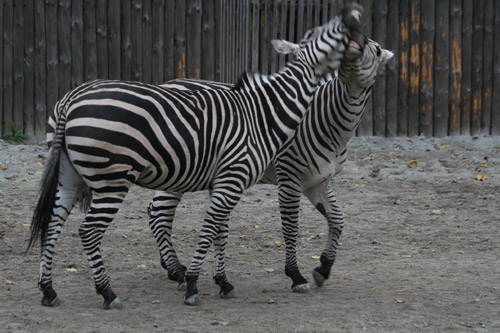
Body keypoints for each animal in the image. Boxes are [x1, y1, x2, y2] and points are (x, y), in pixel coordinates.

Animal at [27, 3, 366, 308]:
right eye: (325, 32)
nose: (354, 12)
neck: (264, 113)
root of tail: (70, 100)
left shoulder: (228, 181)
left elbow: (221, 231)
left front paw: (222, 282)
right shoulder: (246, 178)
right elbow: (210, 229)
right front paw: (193, 284)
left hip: (70, 177)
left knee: (54, 223)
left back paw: (48, 290)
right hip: (112, 179)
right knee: (90, 231)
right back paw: (108, 293)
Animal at [148, 38, 394, 294]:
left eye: (375, 49)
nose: (351, 50)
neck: (332, 124)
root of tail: (170, 82)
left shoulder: (318, 182)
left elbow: (337, 220)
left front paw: (324, 268)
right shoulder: (289, 177)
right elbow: (291, 227)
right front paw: (296, 275)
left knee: (153, 211)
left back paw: (169, 265)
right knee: (159, 215)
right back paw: (176, 270)